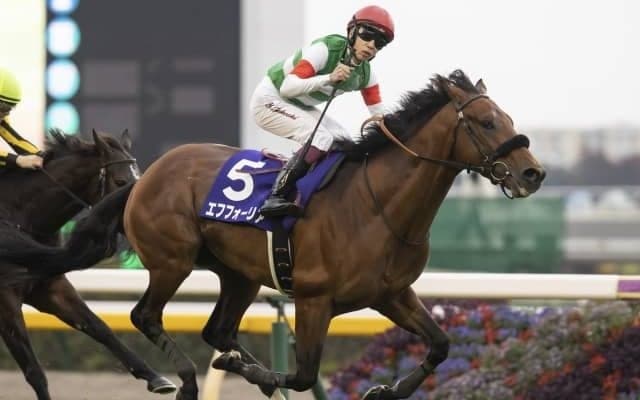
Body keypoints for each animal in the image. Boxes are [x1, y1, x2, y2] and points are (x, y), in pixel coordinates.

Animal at [0, 130, 176, 400]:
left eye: (141, 178)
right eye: (120, 182)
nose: (140, 218)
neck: (16, 216)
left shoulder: (50, 287)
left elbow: (99, 327)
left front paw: (155, 377)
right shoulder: (5, 300)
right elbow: (34, 371)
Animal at [37, 70, 546, 399]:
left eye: (507, 118)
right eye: (486, 122)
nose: (533, 173)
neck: (379, 206)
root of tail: (146, 176)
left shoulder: (391, 293)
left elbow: (440, 344)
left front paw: (386, 388)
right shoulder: (314, 298)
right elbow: (303, 375)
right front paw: (253, 373)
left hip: (240, 274)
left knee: (217, 329)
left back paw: (236, 362)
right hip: (171, 260)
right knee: (145, 315)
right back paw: (185, 379)